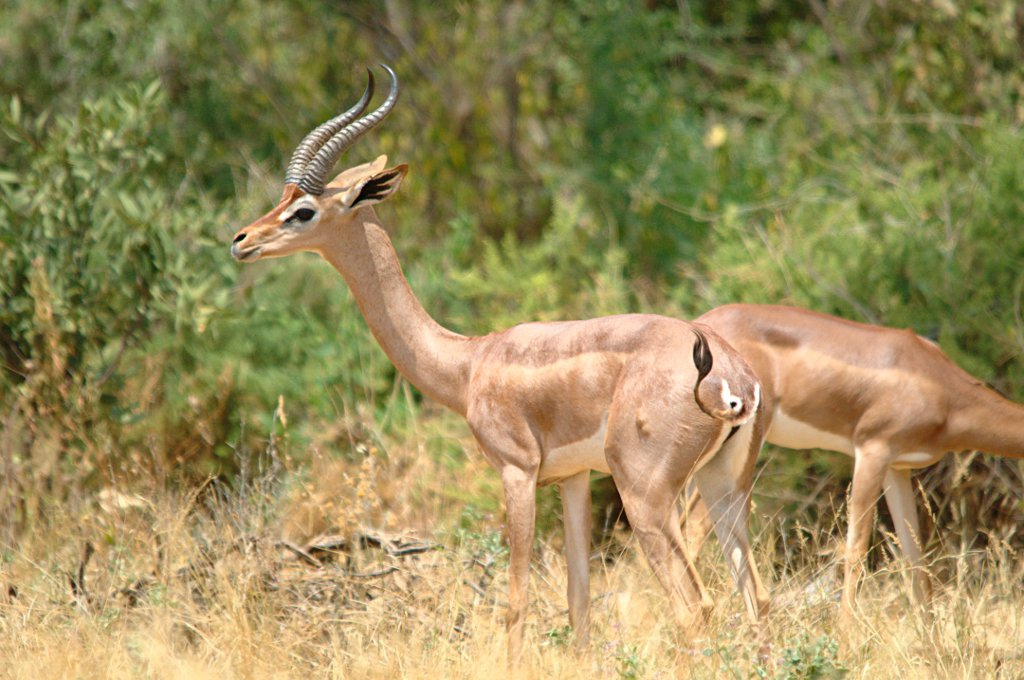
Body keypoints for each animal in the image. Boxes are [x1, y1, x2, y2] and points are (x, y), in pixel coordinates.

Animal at [230, 66, 770, 662]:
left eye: (302, 210)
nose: (241, 240)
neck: (470, 362)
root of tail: (732, 380)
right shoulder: (573, 478)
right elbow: (578, 602)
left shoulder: (517, 472)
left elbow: (516, 603)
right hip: (723, 488)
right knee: (756, 600)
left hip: (646, 497)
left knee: (695, 608)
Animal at [681, 303, 1024, 615]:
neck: (942, 388)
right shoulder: (872, 450)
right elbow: (856, 548)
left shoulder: (897, 468)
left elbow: (915, 559)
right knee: (695, 525)